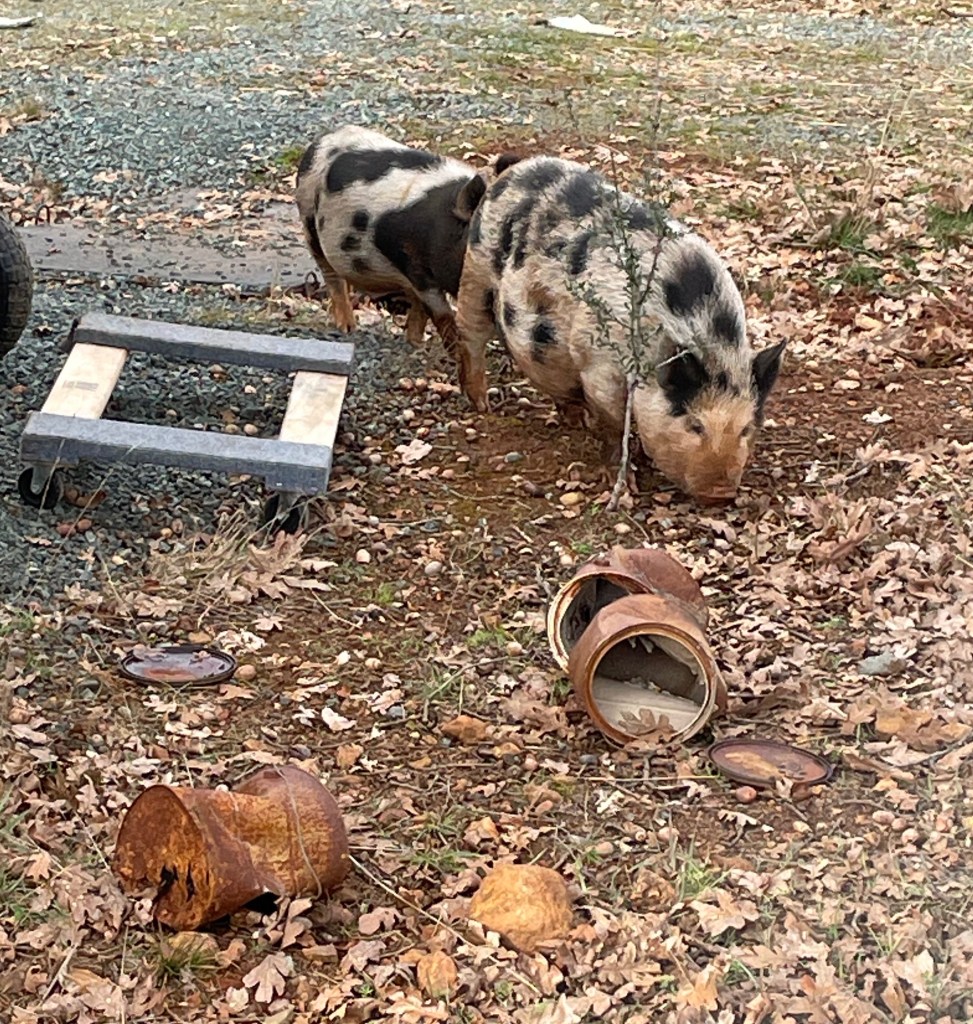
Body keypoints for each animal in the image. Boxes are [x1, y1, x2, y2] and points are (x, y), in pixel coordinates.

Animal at [295, 125, 511, 351]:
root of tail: (321, 140)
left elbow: (422, 309)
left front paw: (418, 344)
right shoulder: (415, 267)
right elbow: (441, 314)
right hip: (309, 221)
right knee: (332, 276)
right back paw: (348, 328)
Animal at [453, 155, 787, 504]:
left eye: (746, 428)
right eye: (695, 425)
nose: (721, 492)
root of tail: (515, 169)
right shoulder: (597, 363)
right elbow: (614, 423)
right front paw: (626, 485)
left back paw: (575, 418)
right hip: (476, 270)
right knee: (470, 334)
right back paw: (482, 404)